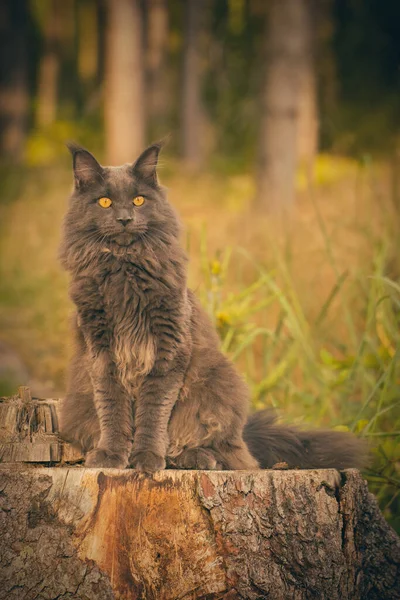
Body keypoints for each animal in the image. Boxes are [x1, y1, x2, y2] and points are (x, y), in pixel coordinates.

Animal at [57, 142, 368, 474]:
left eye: (138, 200)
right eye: (105, 202)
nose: (125, 219)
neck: (124, 269)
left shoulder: (168, 348)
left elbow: (153, 413)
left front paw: (146, 458)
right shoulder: (101, 351)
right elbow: (113, 409)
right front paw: (112, 455)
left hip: (219, 385)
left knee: (228, 453)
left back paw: (196, 458)